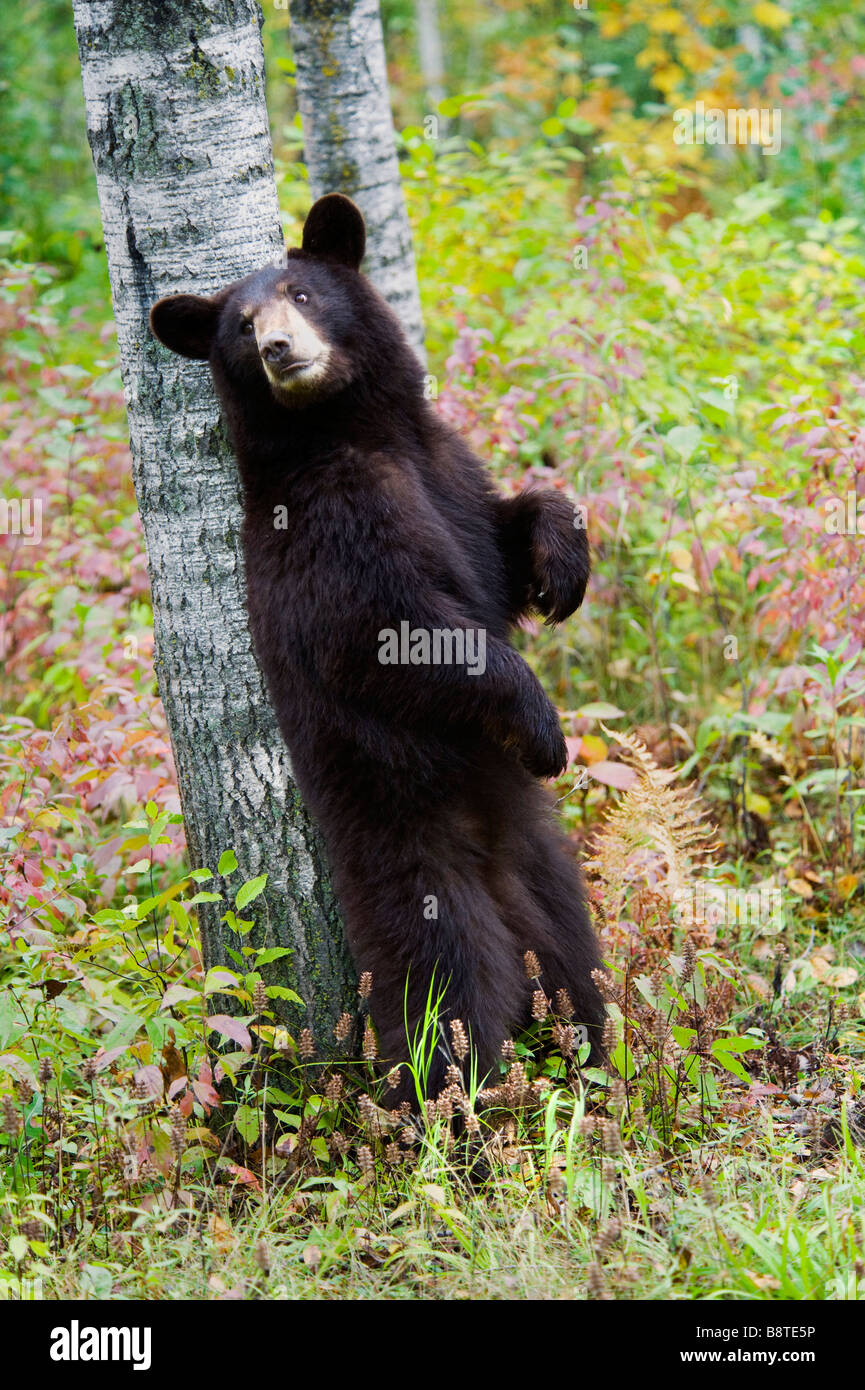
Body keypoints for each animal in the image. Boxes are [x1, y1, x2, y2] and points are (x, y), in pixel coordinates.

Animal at [148, 193, 606, 1095]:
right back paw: (446, 1098)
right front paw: (542, 728)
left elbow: (501, 541)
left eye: (301, 293)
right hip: (408, 844)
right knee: (444, 983)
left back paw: (601, 1058)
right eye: (242, 325)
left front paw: (561, 566)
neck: (354, 429)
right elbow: (394, 635)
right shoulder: (334, 527)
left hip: (545, 875)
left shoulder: (448, 471)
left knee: (575, 960)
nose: (278, 348)